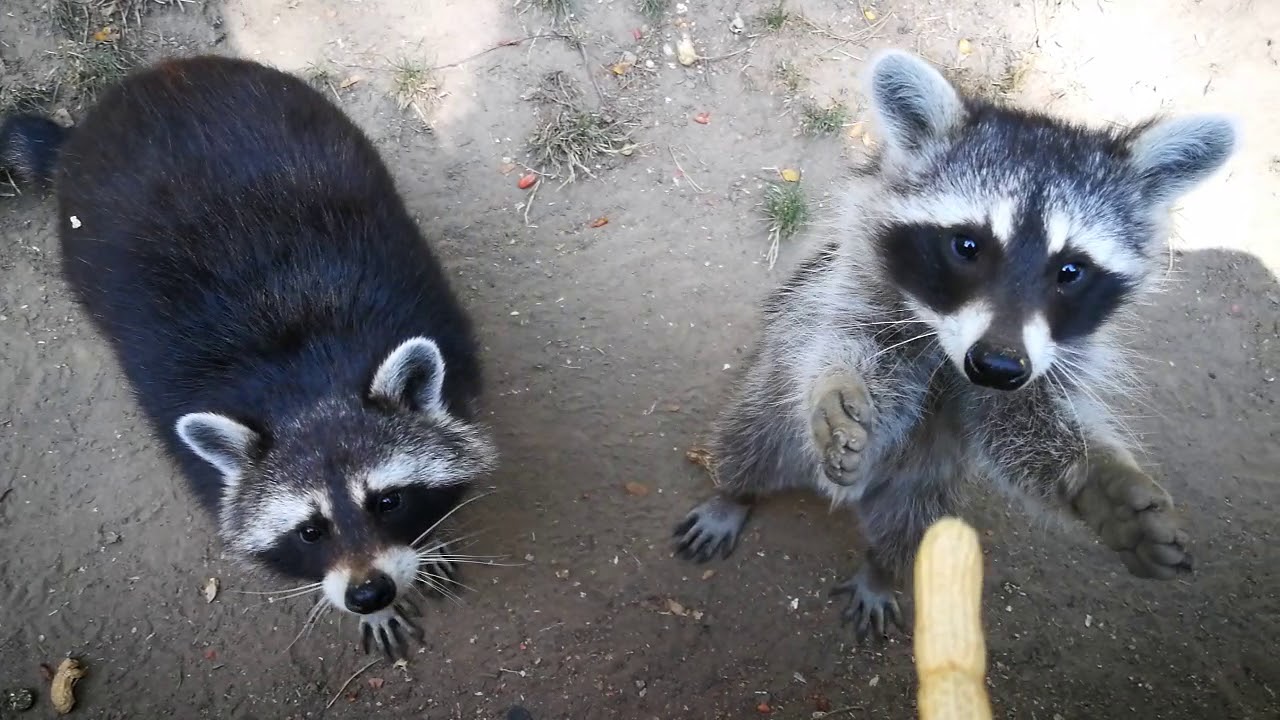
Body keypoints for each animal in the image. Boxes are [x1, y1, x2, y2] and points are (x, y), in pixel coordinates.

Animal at [1, 56, 498, 658]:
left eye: (389, 501)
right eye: (310, 530)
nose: (369, 593)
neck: (306, 381)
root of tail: (140, 87)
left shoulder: (442, 329)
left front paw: (427, 537)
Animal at [673, 49, 1238, 640]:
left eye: (1070, 270)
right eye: (967, 246)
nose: (995, 366)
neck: (946, 345)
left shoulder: (1041, 361)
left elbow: (1017, 424)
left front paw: (1097, 481)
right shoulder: (849, 289)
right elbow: (832, 337)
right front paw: (838, 385)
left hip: (922, 494)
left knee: (909, 533)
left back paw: (881, 569)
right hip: (767, 416)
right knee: (748, 444)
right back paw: (733, 493)